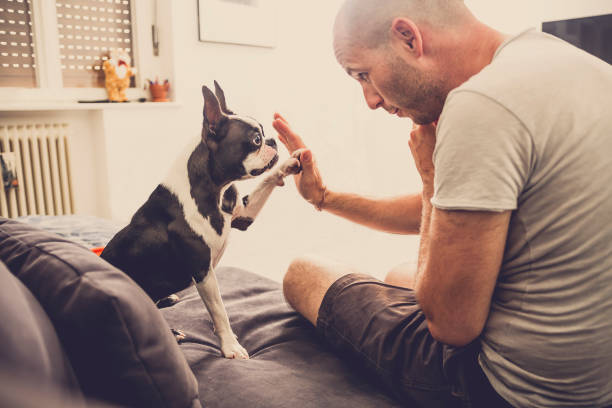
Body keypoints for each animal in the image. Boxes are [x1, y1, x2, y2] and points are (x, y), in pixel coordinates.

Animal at [101, 82, 302, 356]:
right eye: (255, 140)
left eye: (263, 132)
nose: (271, 140)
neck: (213, 190)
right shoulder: (203, 271)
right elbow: (220, 310)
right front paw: (231, 346)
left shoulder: (243, 215)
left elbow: (268, 181)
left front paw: (289, 164)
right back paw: (172, 333)